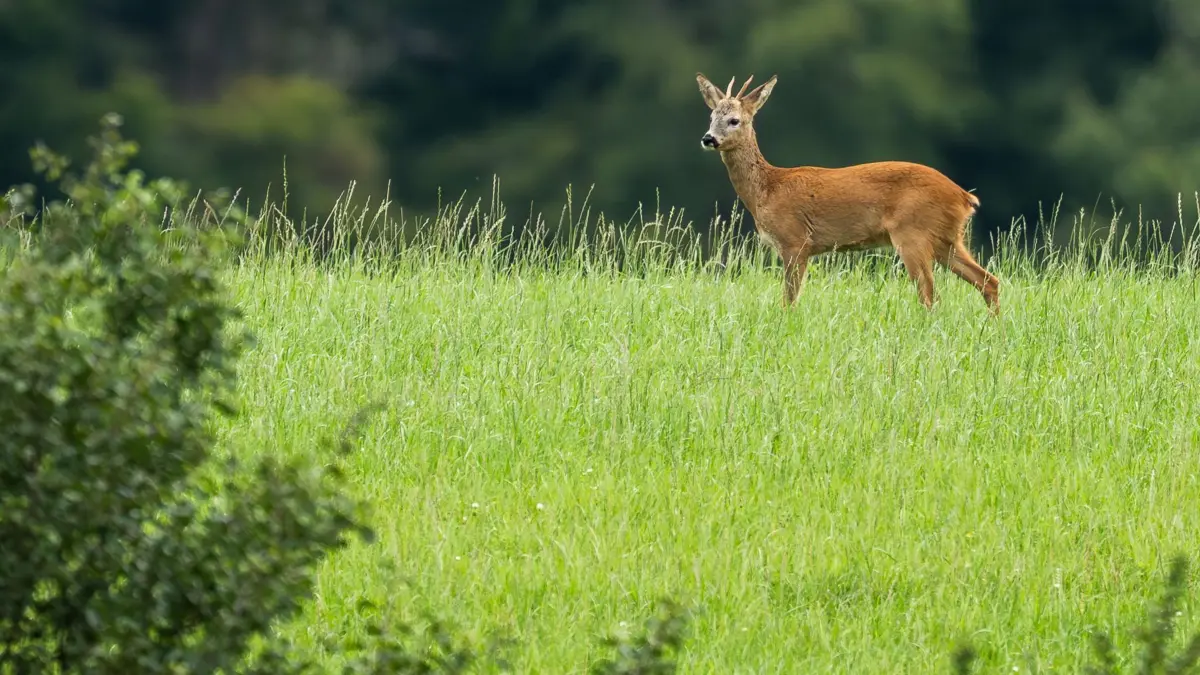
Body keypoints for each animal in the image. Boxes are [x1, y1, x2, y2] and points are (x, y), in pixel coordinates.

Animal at [696, 72, 1000, 314]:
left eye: (734, 120)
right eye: (711, 117)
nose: (708, 138)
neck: (767, 190)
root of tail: (964, 196)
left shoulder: (795, 241)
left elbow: (789, 301)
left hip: (912, 233)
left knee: (930, 295)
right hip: (947, 238)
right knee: (989, 281)